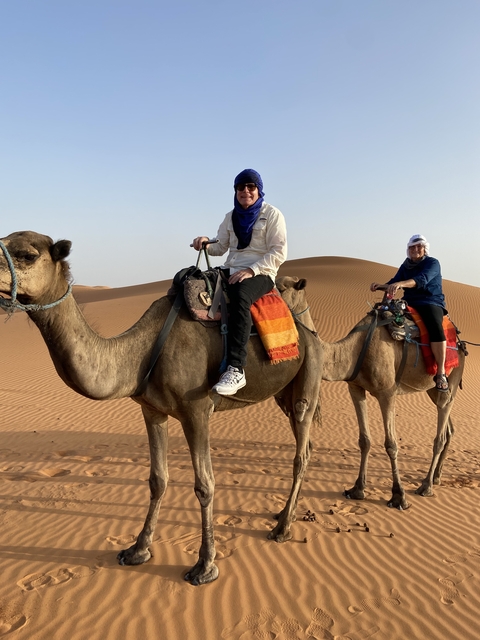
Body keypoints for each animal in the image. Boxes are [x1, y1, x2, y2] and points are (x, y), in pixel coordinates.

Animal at [0, 231, 322, 586]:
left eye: (28, 255)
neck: (141, 351)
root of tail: (310, 333)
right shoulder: (151, 410)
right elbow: (158, 479)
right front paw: (137, 550)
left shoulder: (197, 411)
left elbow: (205, 485)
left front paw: (205, 566)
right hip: (284, 395)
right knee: (303, 441)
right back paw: (283, 514)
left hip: (310, 374)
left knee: (301, 451)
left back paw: (282, 528)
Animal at [279, 279, 465, 510]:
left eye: (282, 288)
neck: (354, 350)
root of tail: (460, 343)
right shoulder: (356, 388)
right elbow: (364, 441)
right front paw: (357, 489)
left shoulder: (387, 393)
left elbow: (391, 444)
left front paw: (398, 496)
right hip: (432, 390)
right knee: (448, 428)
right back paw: (437, 477)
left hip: (451, 379)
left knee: (440, 433)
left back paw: (426, 486)